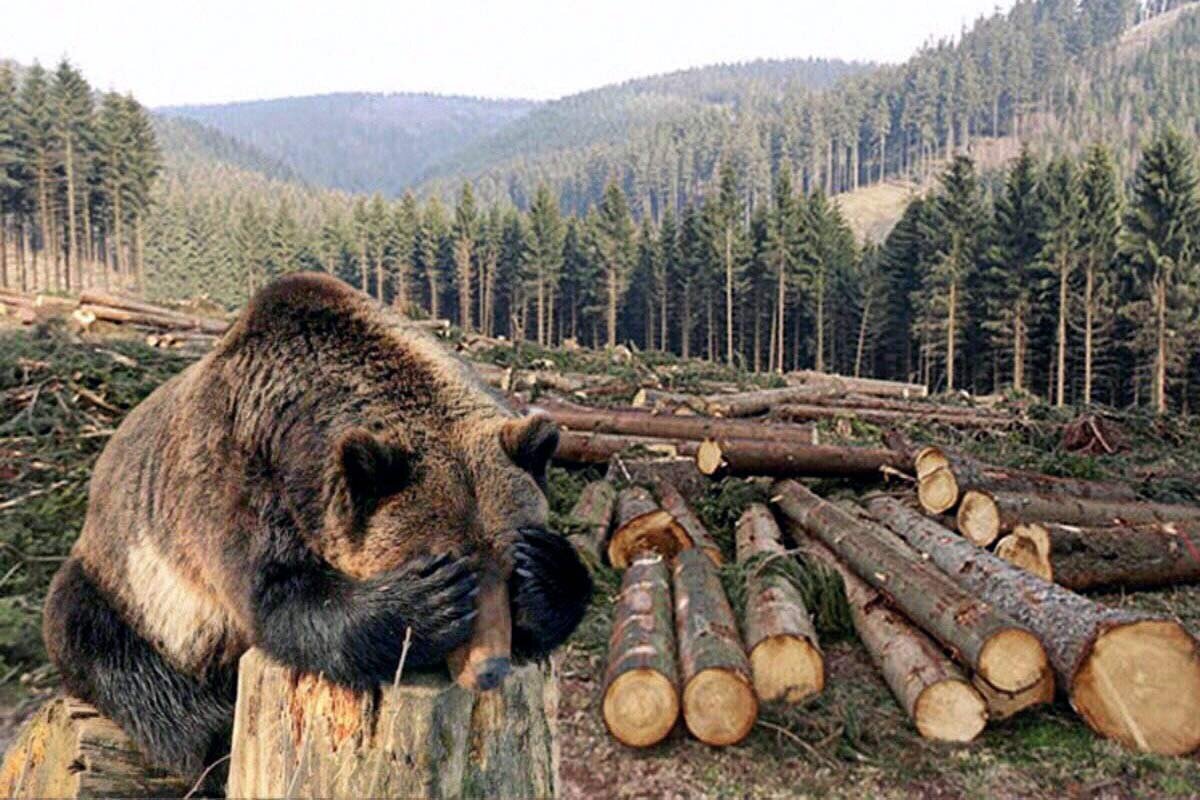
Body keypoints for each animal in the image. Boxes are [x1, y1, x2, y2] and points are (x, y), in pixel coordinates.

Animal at [39, 272, 592, 786]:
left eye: (508, 572)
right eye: (452, 564)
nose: (489, 667)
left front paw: (547, 571)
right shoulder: (235, 483)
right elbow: (279, 597)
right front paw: (423, 605)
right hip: (129, 583)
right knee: (122, 660)